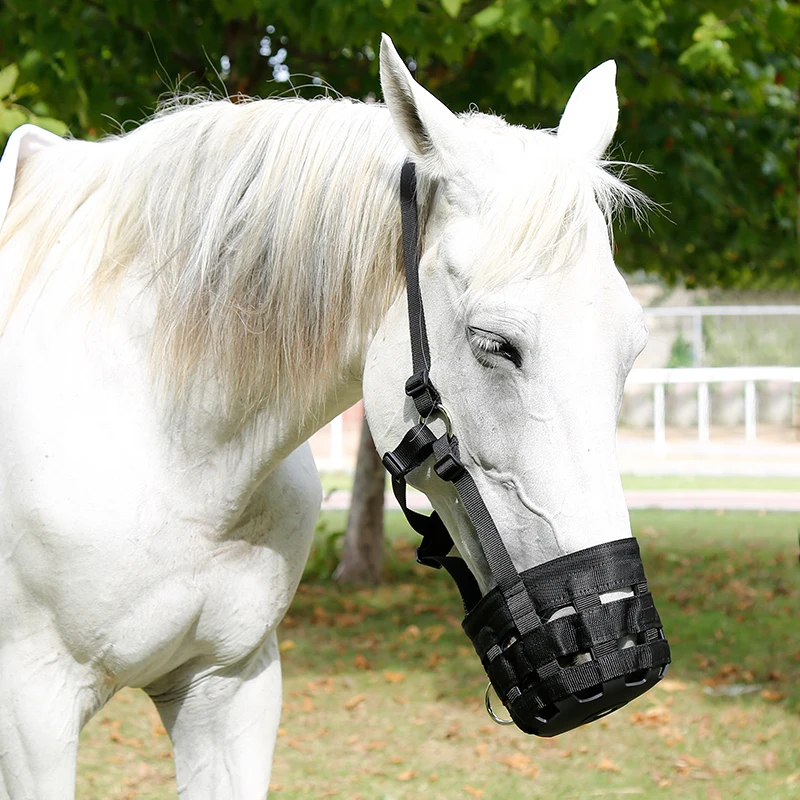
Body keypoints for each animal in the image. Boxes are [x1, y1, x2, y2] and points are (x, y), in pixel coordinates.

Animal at [0, 34, 652, 799]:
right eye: (495, 344)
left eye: (632, 346)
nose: (618, 641)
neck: (166, 445)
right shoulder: (32, 712)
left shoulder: (230, 687)